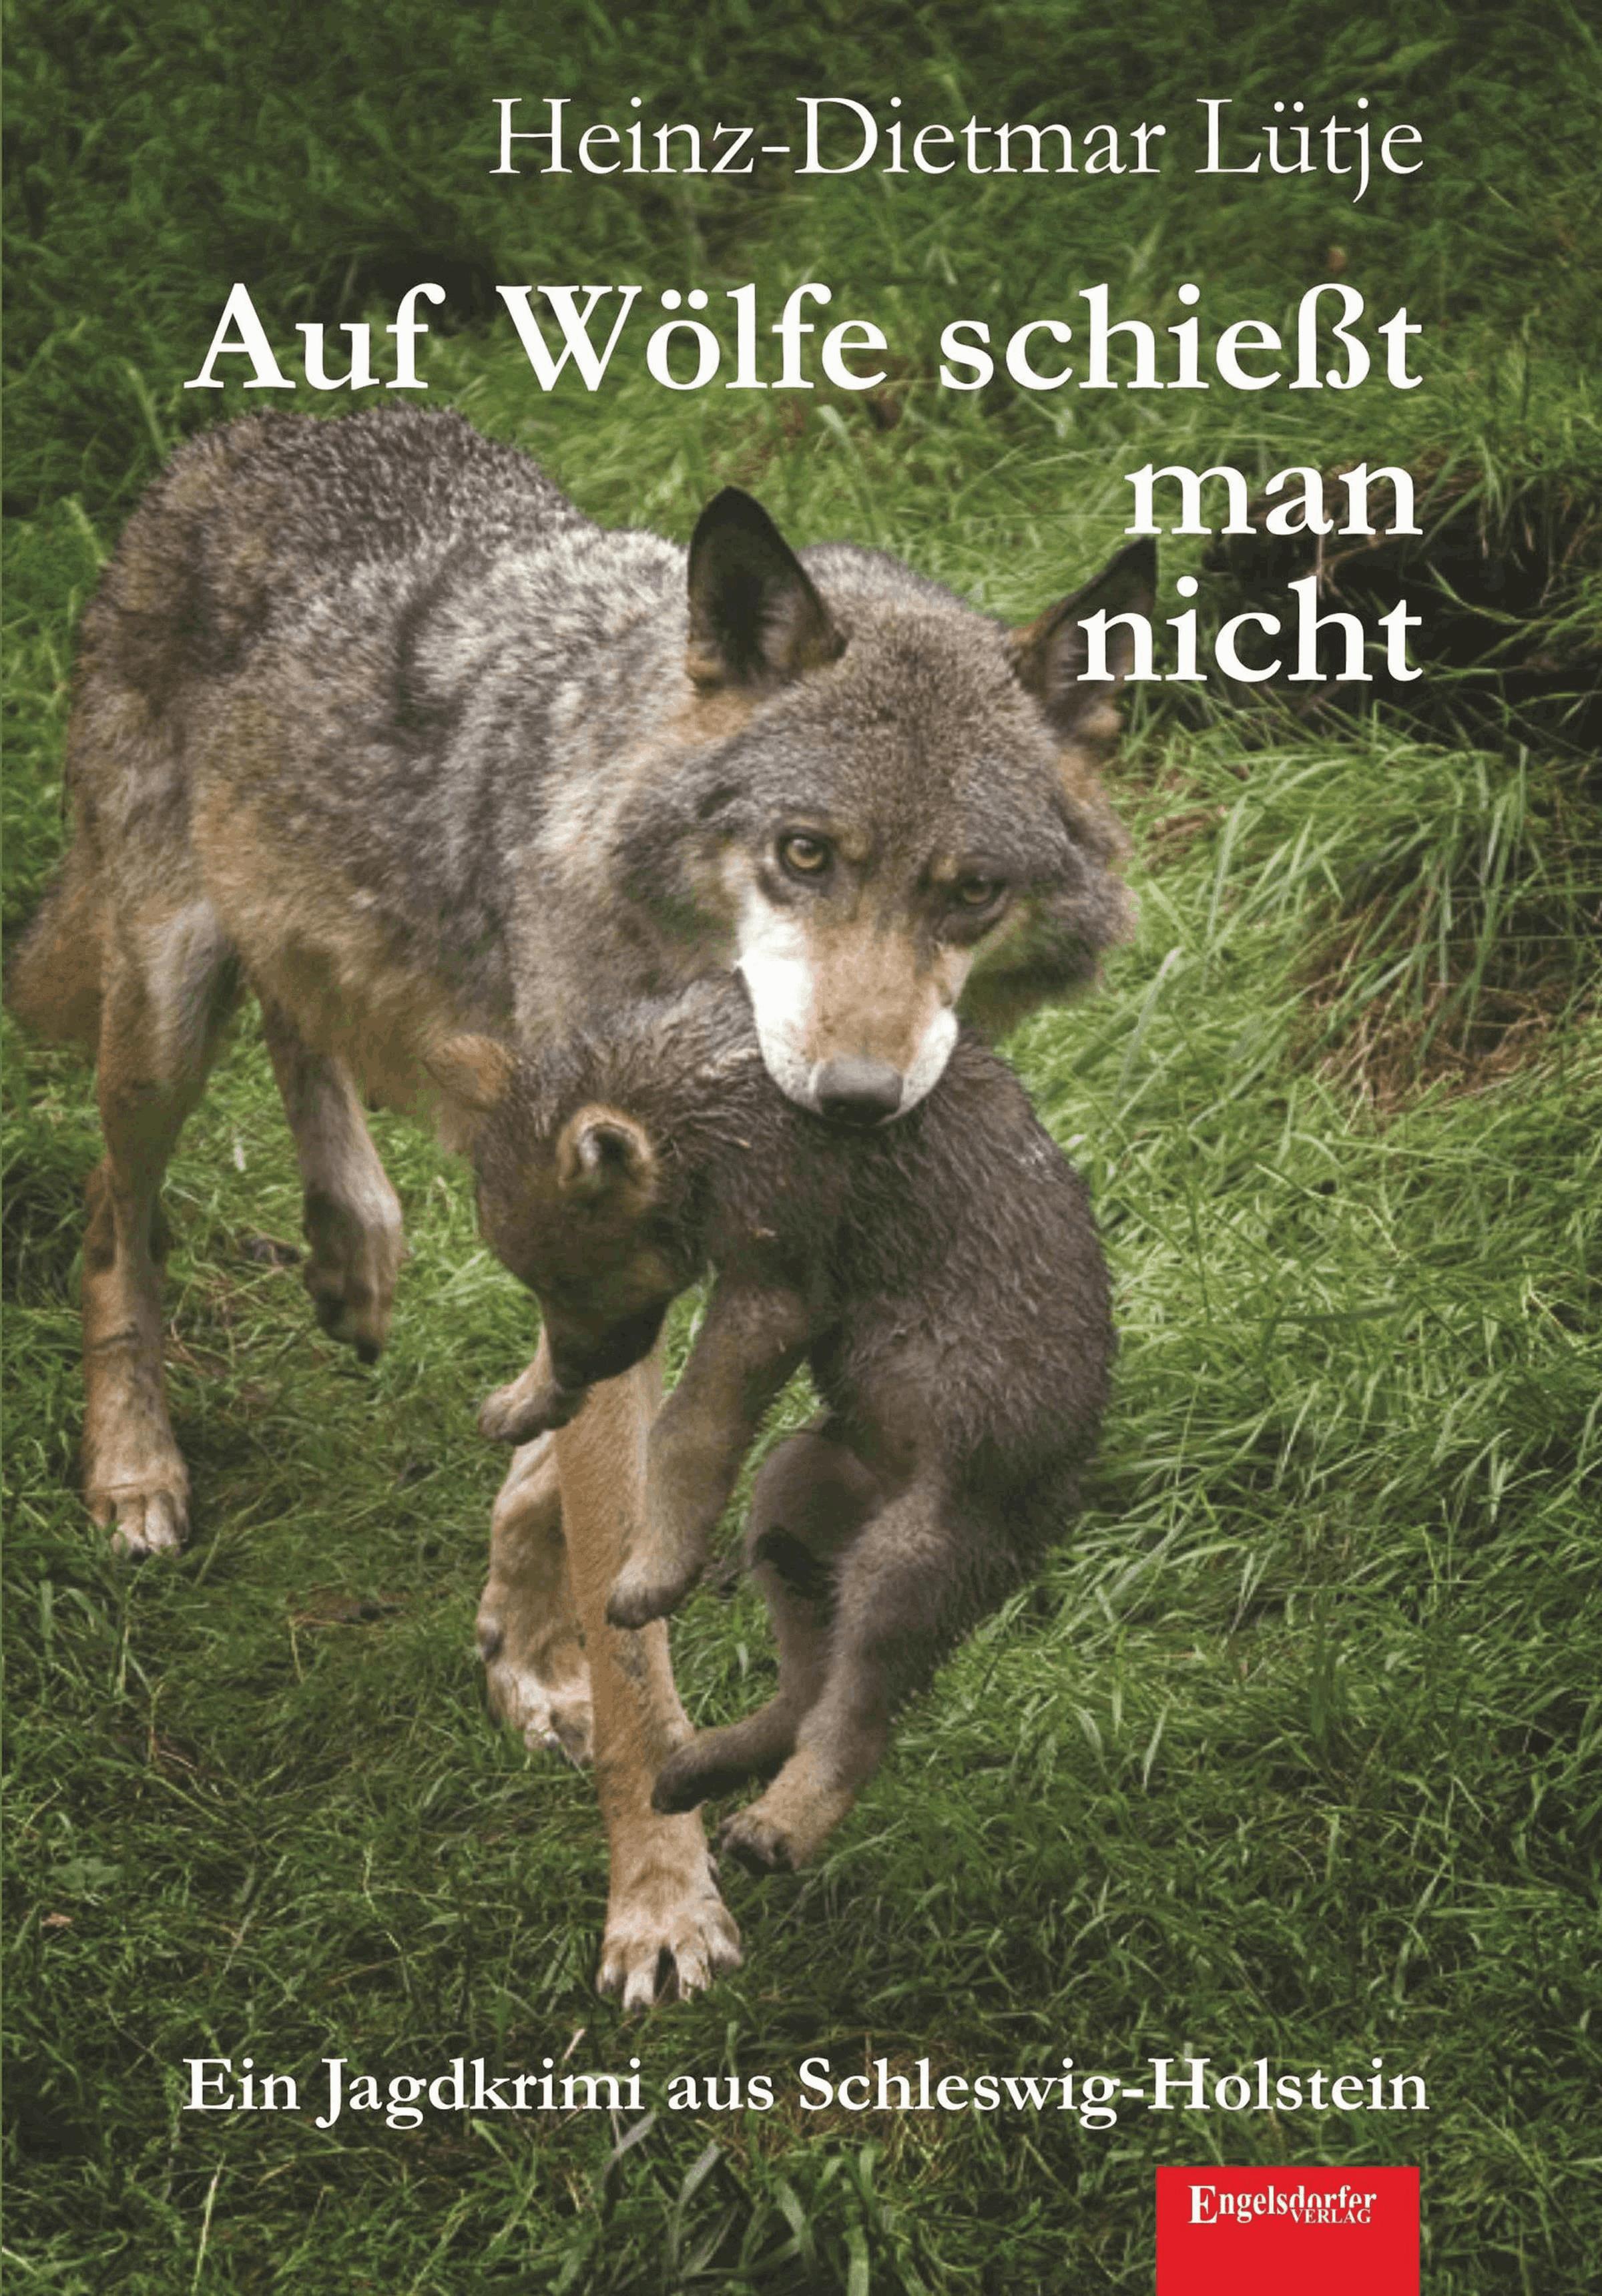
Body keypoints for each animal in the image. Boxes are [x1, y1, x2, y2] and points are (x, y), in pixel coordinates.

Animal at [449, 972, 1113, 1872]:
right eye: (536, 1285)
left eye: (581, 1279)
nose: (581, 1377)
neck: (704, 1099)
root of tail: (1066, 1496)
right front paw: (528, 1400)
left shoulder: (772, 1295)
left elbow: (684, 1430)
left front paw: (653, 1569)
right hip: (792, 1498)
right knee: (806, 1694)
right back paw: (699, 1769)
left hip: (900, 1565)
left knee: (856, 1724)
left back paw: (782, 1823)